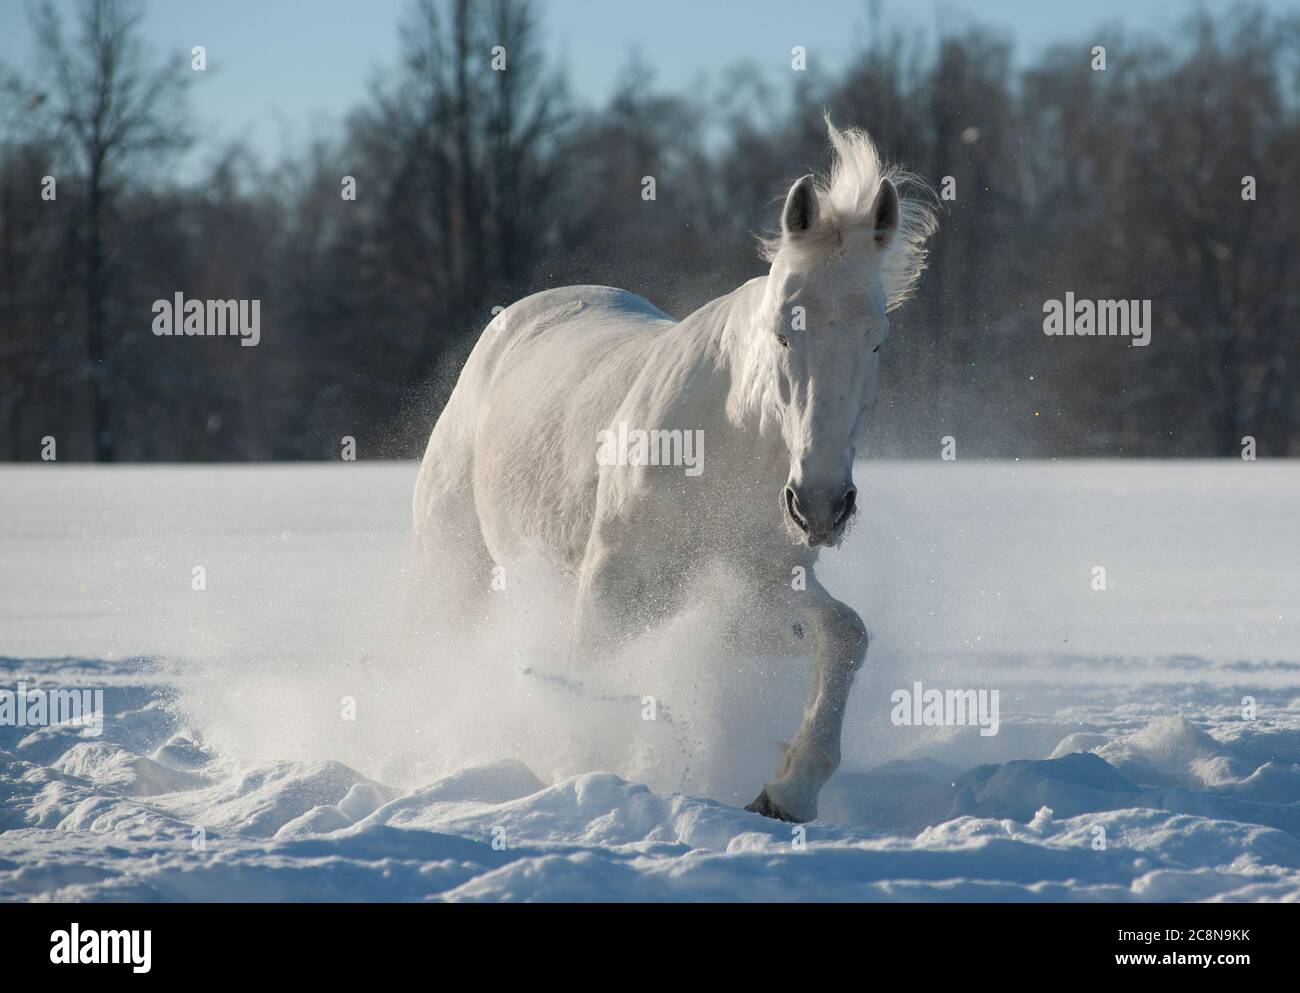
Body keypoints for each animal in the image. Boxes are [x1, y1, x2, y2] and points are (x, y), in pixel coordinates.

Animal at [413, 116, 935, 821]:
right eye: (783, 332)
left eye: (876, 340)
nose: (820, 506)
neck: (726, 451)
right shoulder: (608, 589)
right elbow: (590, 680)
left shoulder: (743, 595)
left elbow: (845, 635)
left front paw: (786, 792)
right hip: (452, 566)